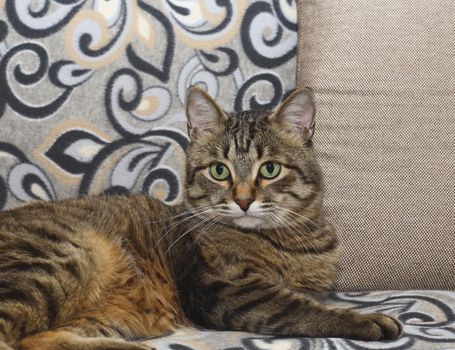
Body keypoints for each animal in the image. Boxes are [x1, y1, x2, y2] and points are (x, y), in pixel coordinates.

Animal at [0, 85, 402, 350]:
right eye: (220, 171)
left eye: (270, 169)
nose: (243, 200)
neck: (288, 239)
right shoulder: (224, 289)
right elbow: (298, 308)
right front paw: (366, 319)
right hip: (58, 260)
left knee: (35, 340)